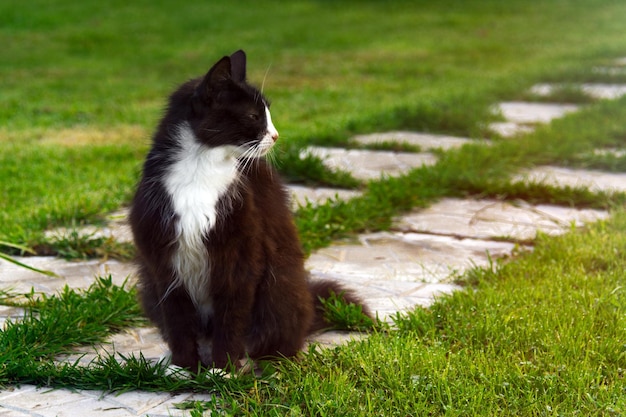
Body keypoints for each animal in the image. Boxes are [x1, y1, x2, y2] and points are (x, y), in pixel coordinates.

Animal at [129, 49, 368, 368]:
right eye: (254, 116)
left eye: (267, 114)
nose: (276, 136)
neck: (199, 168)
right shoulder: (161, 255)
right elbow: (176, 315)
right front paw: (184, 366)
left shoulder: (241, 248)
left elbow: (232, 310)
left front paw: (224, 367)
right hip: (148, 286)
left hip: (280, 285)